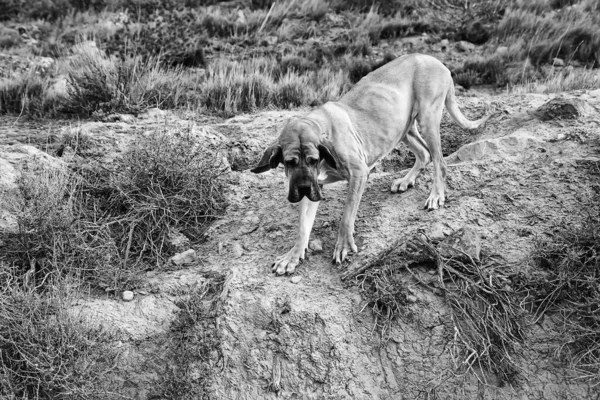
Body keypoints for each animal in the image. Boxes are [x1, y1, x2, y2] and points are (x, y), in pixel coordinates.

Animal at [252, 53, 492, 276]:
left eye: (313, 160)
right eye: (289, 162)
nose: (302, 188)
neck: (320, 127)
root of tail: (436, 60)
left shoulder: (358, 173)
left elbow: (346, 216)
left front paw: (343, 245)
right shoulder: (311, 186)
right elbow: (303, 227)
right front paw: (292, 256)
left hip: (427, 118)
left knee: (439, 162)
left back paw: (436, 195)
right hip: (401, 126)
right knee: (424, 154)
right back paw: (406, 180)